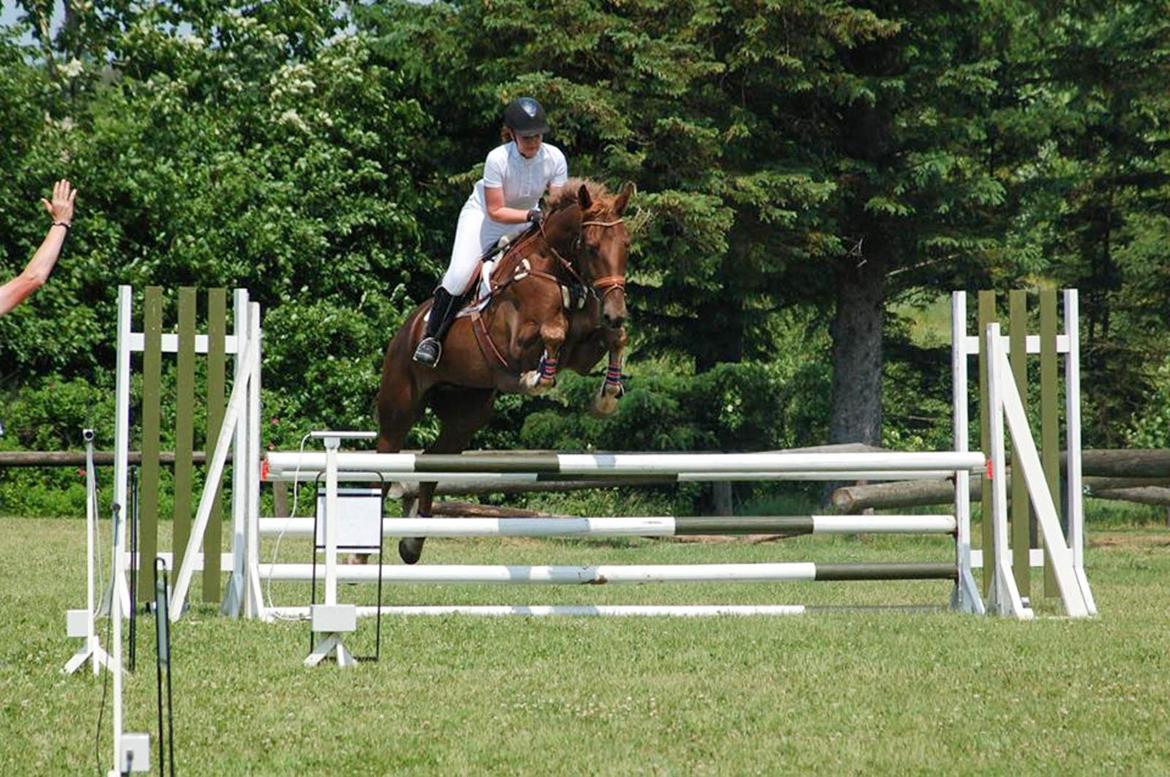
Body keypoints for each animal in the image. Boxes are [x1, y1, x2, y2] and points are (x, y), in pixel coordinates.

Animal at [372, 177, 631, 561]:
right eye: (592, 246)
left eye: (626, 245)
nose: (615, 311)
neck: (553, 269)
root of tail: (406, 330)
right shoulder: (514, 344)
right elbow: (553, 331)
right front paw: (537, 378)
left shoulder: (582, 354)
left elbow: (613, 339)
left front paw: (608, 395)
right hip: (400, 405)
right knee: (385, 463)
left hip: (466, 414)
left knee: (433, 463)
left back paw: (412, 543)